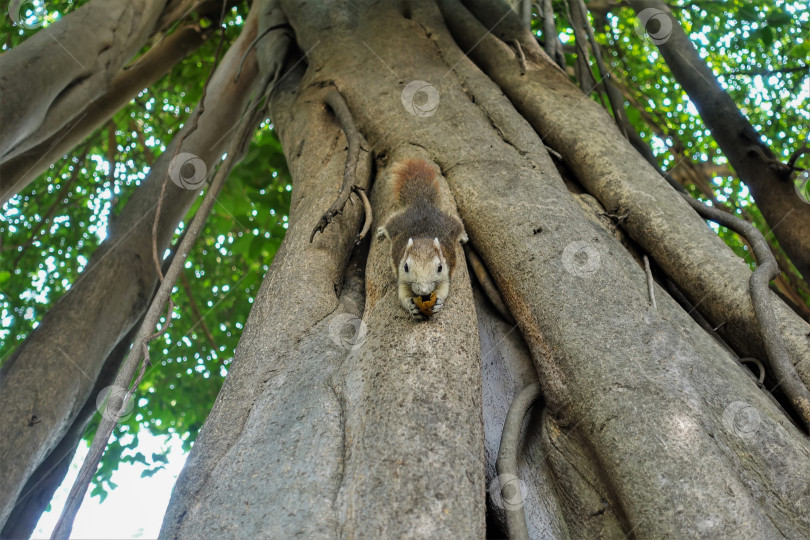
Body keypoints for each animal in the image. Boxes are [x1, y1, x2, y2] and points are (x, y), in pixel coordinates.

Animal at [374, 158, 464, 316]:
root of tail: (421, 201)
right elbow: (402, 293)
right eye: (406, 267)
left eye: (439, 267)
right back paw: (381, 231)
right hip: (398, 223)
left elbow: (444, 289)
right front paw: (410, 306)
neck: (423, 238)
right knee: (389, 223)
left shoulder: (446, 272)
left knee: (459, 224)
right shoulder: (401, 277)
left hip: (450, 224)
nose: (423, 291)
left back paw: (464, 236)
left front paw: (438, 302)